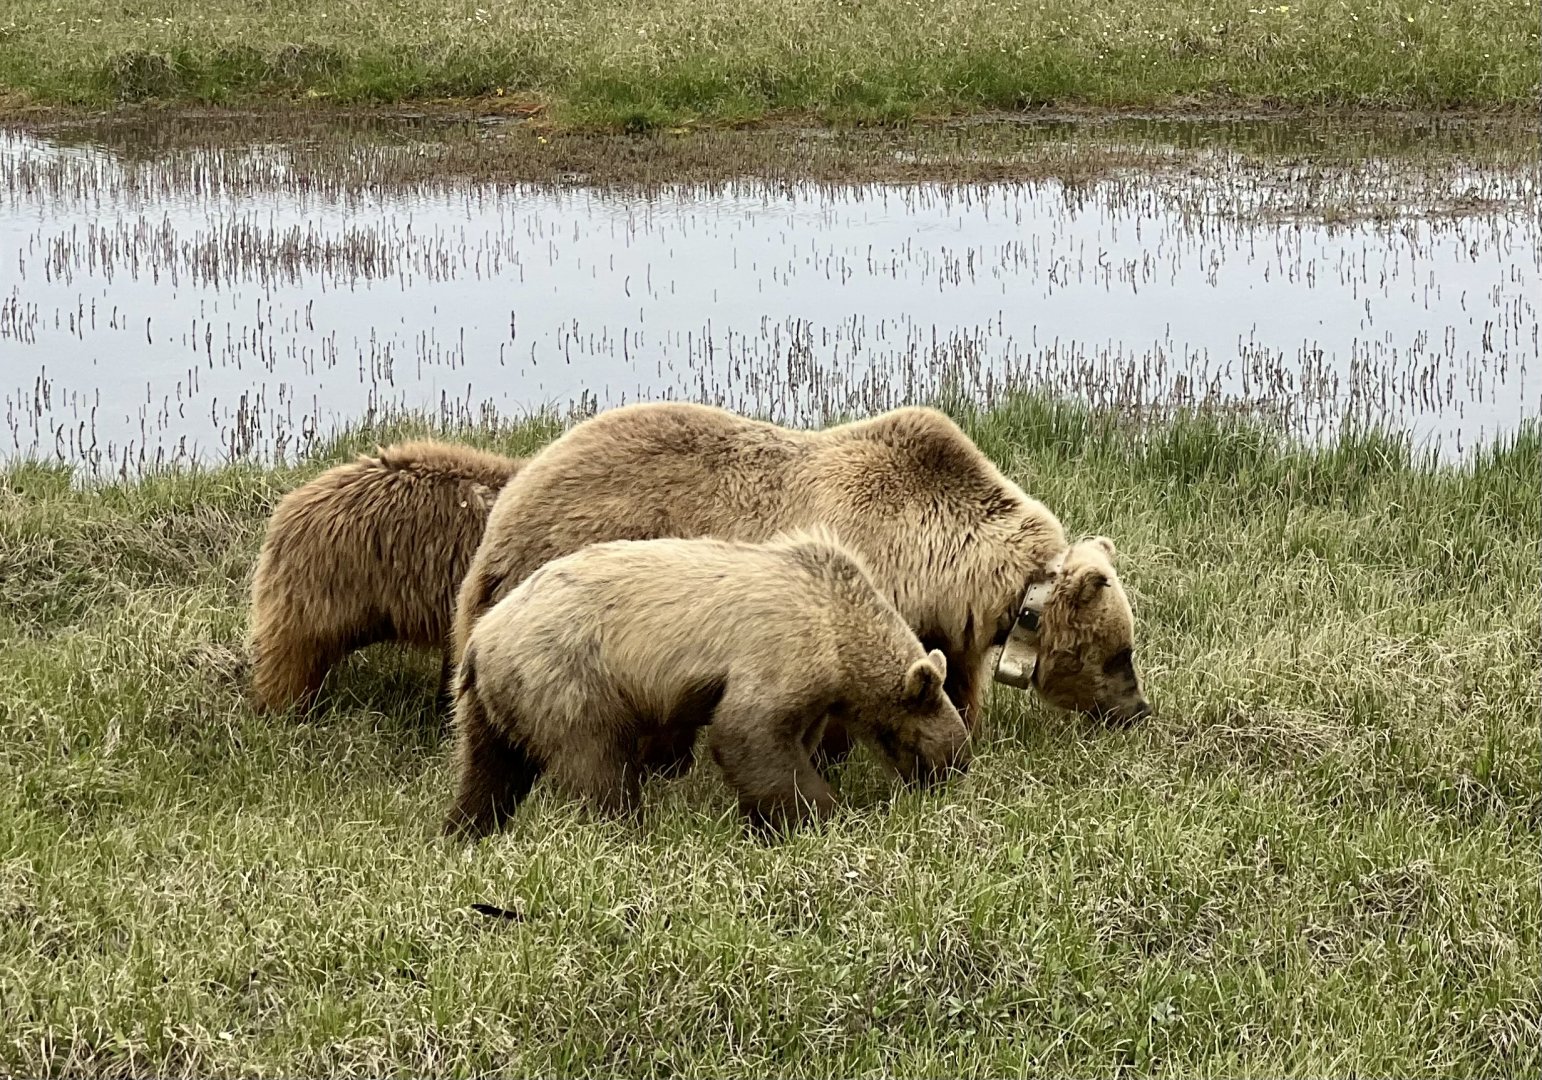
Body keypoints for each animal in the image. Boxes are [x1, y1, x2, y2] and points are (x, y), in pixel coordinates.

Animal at [442, 530, 972, 838]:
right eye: (938, 752)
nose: (953, 774)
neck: (843, 633)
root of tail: (482, 638)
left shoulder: (815, 690)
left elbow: (782, 742)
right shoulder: (781, 646)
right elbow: (747, 733)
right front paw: (822, 813)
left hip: (497, 696)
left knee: (491, 768)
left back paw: (466, 831)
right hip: (567, 673)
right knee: (597, 763)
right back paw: (626, 830)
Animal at [450, 401, 1149, 769]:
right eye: (1120, 653)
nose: (1138, 709)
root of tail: (510, 500)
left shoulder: (946, 621)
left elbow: (954, 678)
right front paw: (834, 752)